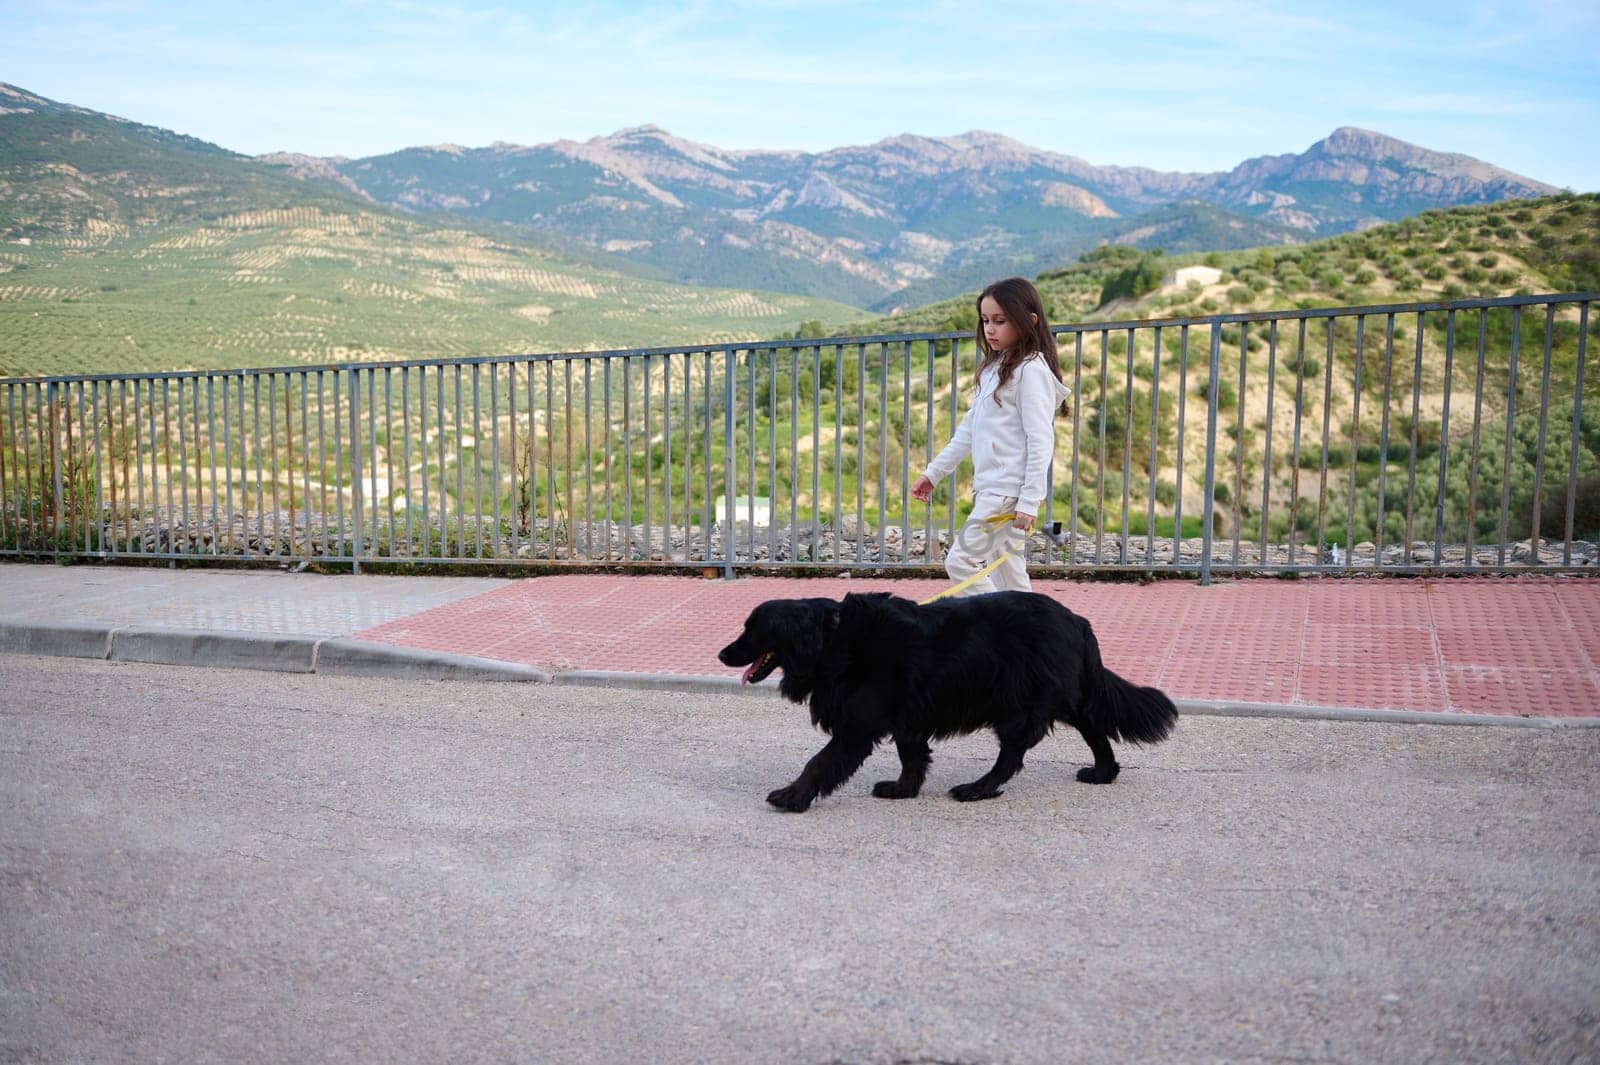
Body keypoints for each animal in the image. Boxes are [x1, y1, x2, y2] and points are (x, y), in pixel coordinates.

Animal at [723, 591, 1177, 809]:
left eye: (751, 629)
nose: (722, 655)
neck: (833, 637)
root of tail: (1078, 620)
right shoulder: (906, 716)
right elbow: (912, 757)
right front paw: (903, 790)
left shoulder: (857, 725)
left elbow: (818, 763)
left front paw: (792, 797)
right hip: (1066, 695)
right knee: (1094, 728)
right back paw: (1103, 772)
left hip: (1019, 704)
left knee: (1012, 755)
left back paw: (978, 789)